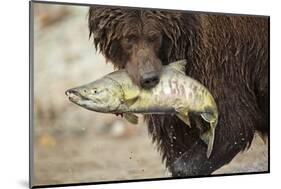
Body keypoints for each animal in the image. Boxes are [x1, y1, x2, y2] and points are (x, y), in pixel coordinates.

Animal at [87, 6, 266, 177]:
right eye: (129, 38)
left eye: (154, 36)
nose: (149, 78)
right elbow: (175, 136)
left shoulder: (220, 61)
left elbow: (233, 125)